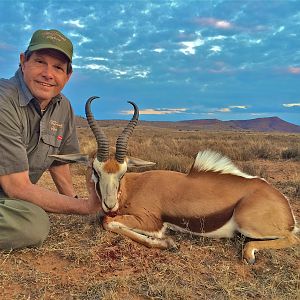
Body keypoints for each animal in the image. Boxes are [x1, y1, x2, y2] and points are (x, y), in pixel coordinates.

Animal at [50, 97, 298, 264]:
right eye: (95, 170)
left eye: (123, 173)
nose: (110, 204)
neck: (132, 188)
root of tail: (282, 203)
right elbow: (108, 220)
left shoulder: (149, 220)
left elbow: (108, 222)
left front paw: (167, 243)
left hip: (249, 224)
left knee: (292, 238)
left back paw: (249, 254)